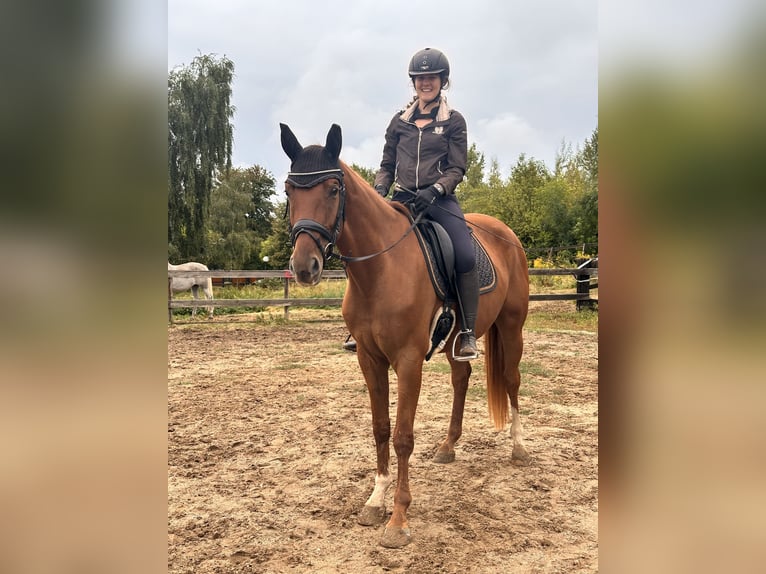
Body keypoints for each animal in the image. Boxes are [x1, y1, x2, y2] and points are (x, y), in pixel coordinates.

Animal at [280, 123, 529, 548]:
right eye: (288, 190)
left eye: (333, 189)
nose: (304, 267)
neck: (381, 268)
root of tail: (507, 234)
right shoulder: (369, 359)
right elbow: (380, 429)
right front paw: (374, 501)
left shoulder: (409, 361)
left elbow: (402, 437)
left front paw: (398, 520)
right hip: (458, 341)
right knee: (461, 377)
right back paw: (448, 446)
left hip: (512, 328)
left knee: (511, 381)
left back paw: (518, 448)